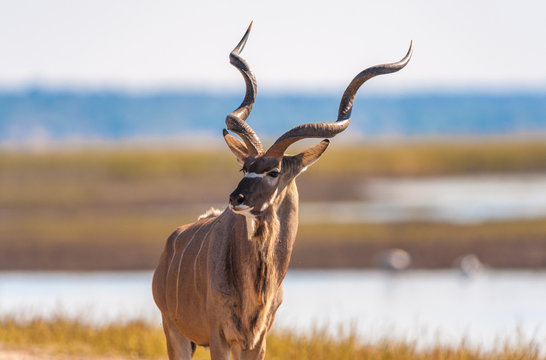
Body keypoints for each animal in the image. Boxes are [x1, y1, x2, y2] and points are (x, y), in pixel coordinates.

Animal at [151, 23, 410, 358]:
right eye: (244, 168)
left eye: (273, 171)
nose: (236, 198)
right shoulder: (219, 337)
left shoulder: (256, 342)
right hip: (175, 332)